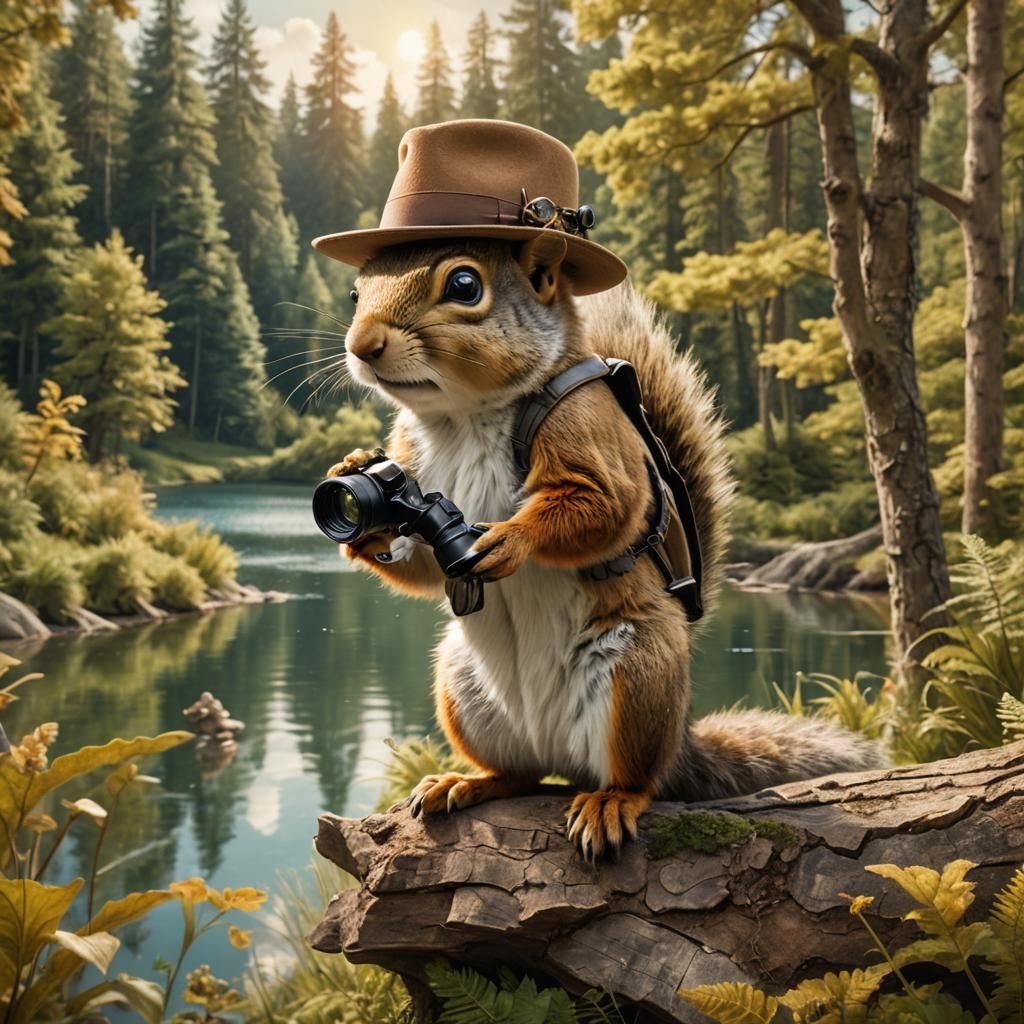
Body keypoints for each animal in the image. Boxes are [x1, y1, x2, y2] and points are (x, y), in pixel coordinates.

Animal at [327, 233, 888, 860]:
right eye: (356, 292)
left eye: (464, 285)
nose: (362, 346)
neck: (460, 416)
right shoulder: (409, 456)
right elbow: (423, 567)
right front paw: (355, 488)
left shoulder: (584, 425)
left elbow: (607, 506)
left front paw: (506, 539)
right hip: (462, 688)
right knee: (520, 775)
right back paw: (465, 782)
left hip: (637, 678)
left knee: (637, 778)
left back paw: (610, 803)